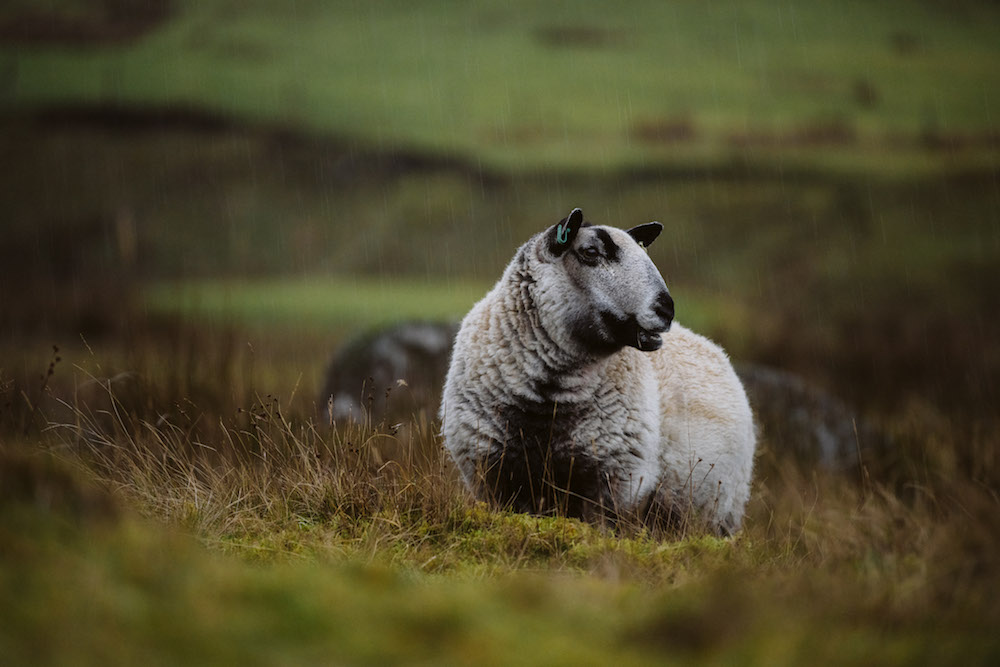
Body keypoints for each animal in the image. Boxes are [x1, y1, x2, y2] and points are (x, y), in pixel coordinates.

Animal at [442, 210, 752, 536]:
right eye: (591, 252)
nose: (666, 309)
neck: (549, 403)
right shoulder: (493, 474)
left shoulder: (612, 483)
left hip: (717, 513)